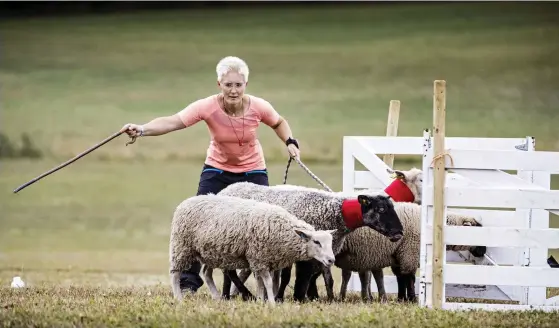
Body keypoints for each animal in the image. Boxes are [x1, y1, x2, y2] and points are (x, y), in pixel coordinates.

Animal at [168, 192, 336, 304]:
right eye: (316, 242)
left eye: (330, 243)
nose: (331, 260)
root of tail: (187, 201)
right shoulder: (258, 258)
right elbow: (267, 283)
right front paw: (270, 303)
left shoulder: (264, 260)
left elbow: (263, 283)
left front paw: (262, 300)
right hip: (181, 246)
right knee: (175, 274)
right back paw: (178, 297)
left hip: (211, 252)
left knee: (206, 273)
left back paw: (217, 297)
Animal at [217, 182, 404, 302]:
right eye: (381, 209)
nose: (399, 233)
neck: (334, 213)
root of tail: (226, 189)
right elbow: (298, 278)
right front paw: (295, 299)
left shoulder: (322, 253)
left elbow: (321, 278)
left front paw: (318, 298)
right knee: (230, 272)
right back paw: (240, 295)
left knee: (229, 272)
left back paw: (228, 295)